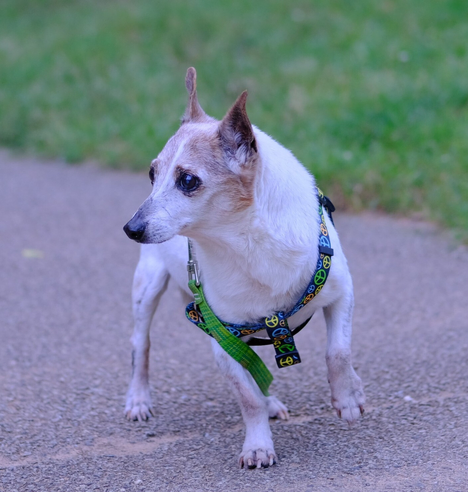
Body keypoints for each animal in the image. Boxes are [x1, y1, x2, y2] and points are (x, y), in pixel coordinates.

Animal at [122, 66, 364, 468]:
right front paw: (258, 446)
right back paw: (138, 399)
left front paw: (347, 399)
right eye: (152, 175)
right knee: (141, 345)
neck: (245, 242)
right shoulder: (222, 339)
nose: (131, 228)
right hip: (148, 287)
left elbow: (338, 352)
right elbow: (247, 397)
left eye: (188, 180)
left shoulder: (340, 294)